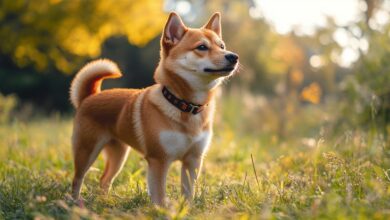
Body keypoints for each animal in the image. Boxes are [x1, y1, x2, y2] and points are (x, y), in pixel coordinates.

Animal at [71, 11, 238, 205]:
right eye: (202, 47)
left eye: (222, 46)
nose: (233, 56)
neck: (185, 105)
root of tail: (89, 96)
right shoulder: (159, 160)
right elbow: (159, 195)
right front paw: (161, 209)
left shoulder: (193, 160)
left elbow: (188, 193)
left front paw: (185, 208)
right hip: (87, 151)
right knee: (77, 179)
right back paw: (74, 202)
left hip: (118, 155)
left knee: (104, 179)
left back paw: (105, 201)